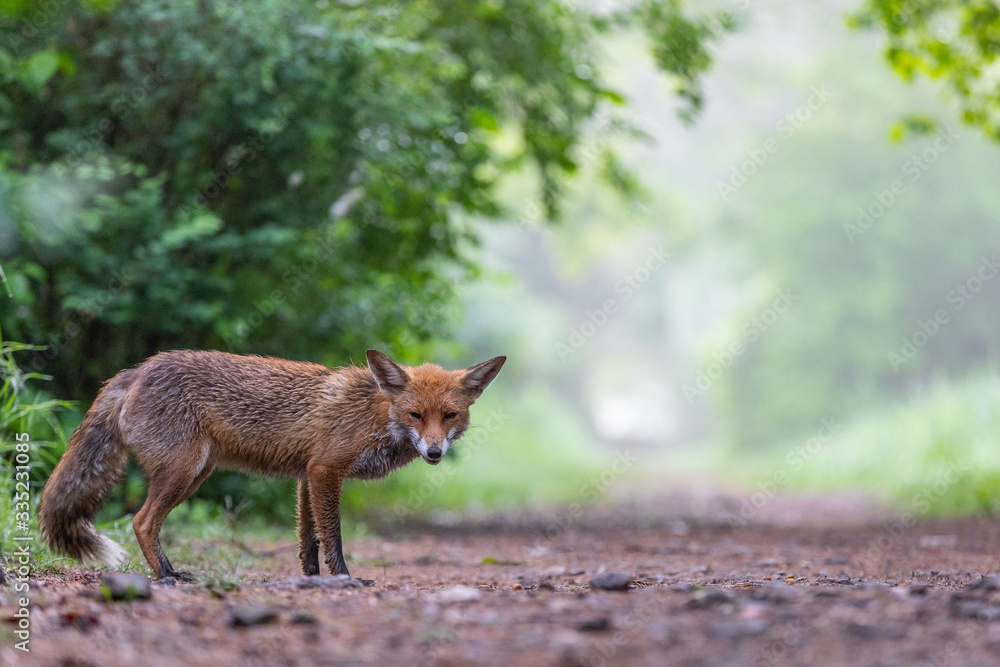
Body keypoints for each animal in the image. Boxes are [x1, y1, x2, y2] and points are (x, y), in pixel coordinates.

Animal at [38, 349, 505, 581]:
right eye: (415, 415)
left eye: (449, 416)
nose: (434, 453)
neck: (373, 415)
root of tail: (136, 370)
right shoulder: (325, 470)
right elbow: (333, 537)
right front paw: (345, 579)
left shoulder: (306, 476)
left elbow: (308, 541)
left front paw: (313, 579)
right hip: (183, 473)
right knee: (141, 521)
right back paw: (167, 575)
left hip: (196, 473)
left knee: (144, 521)